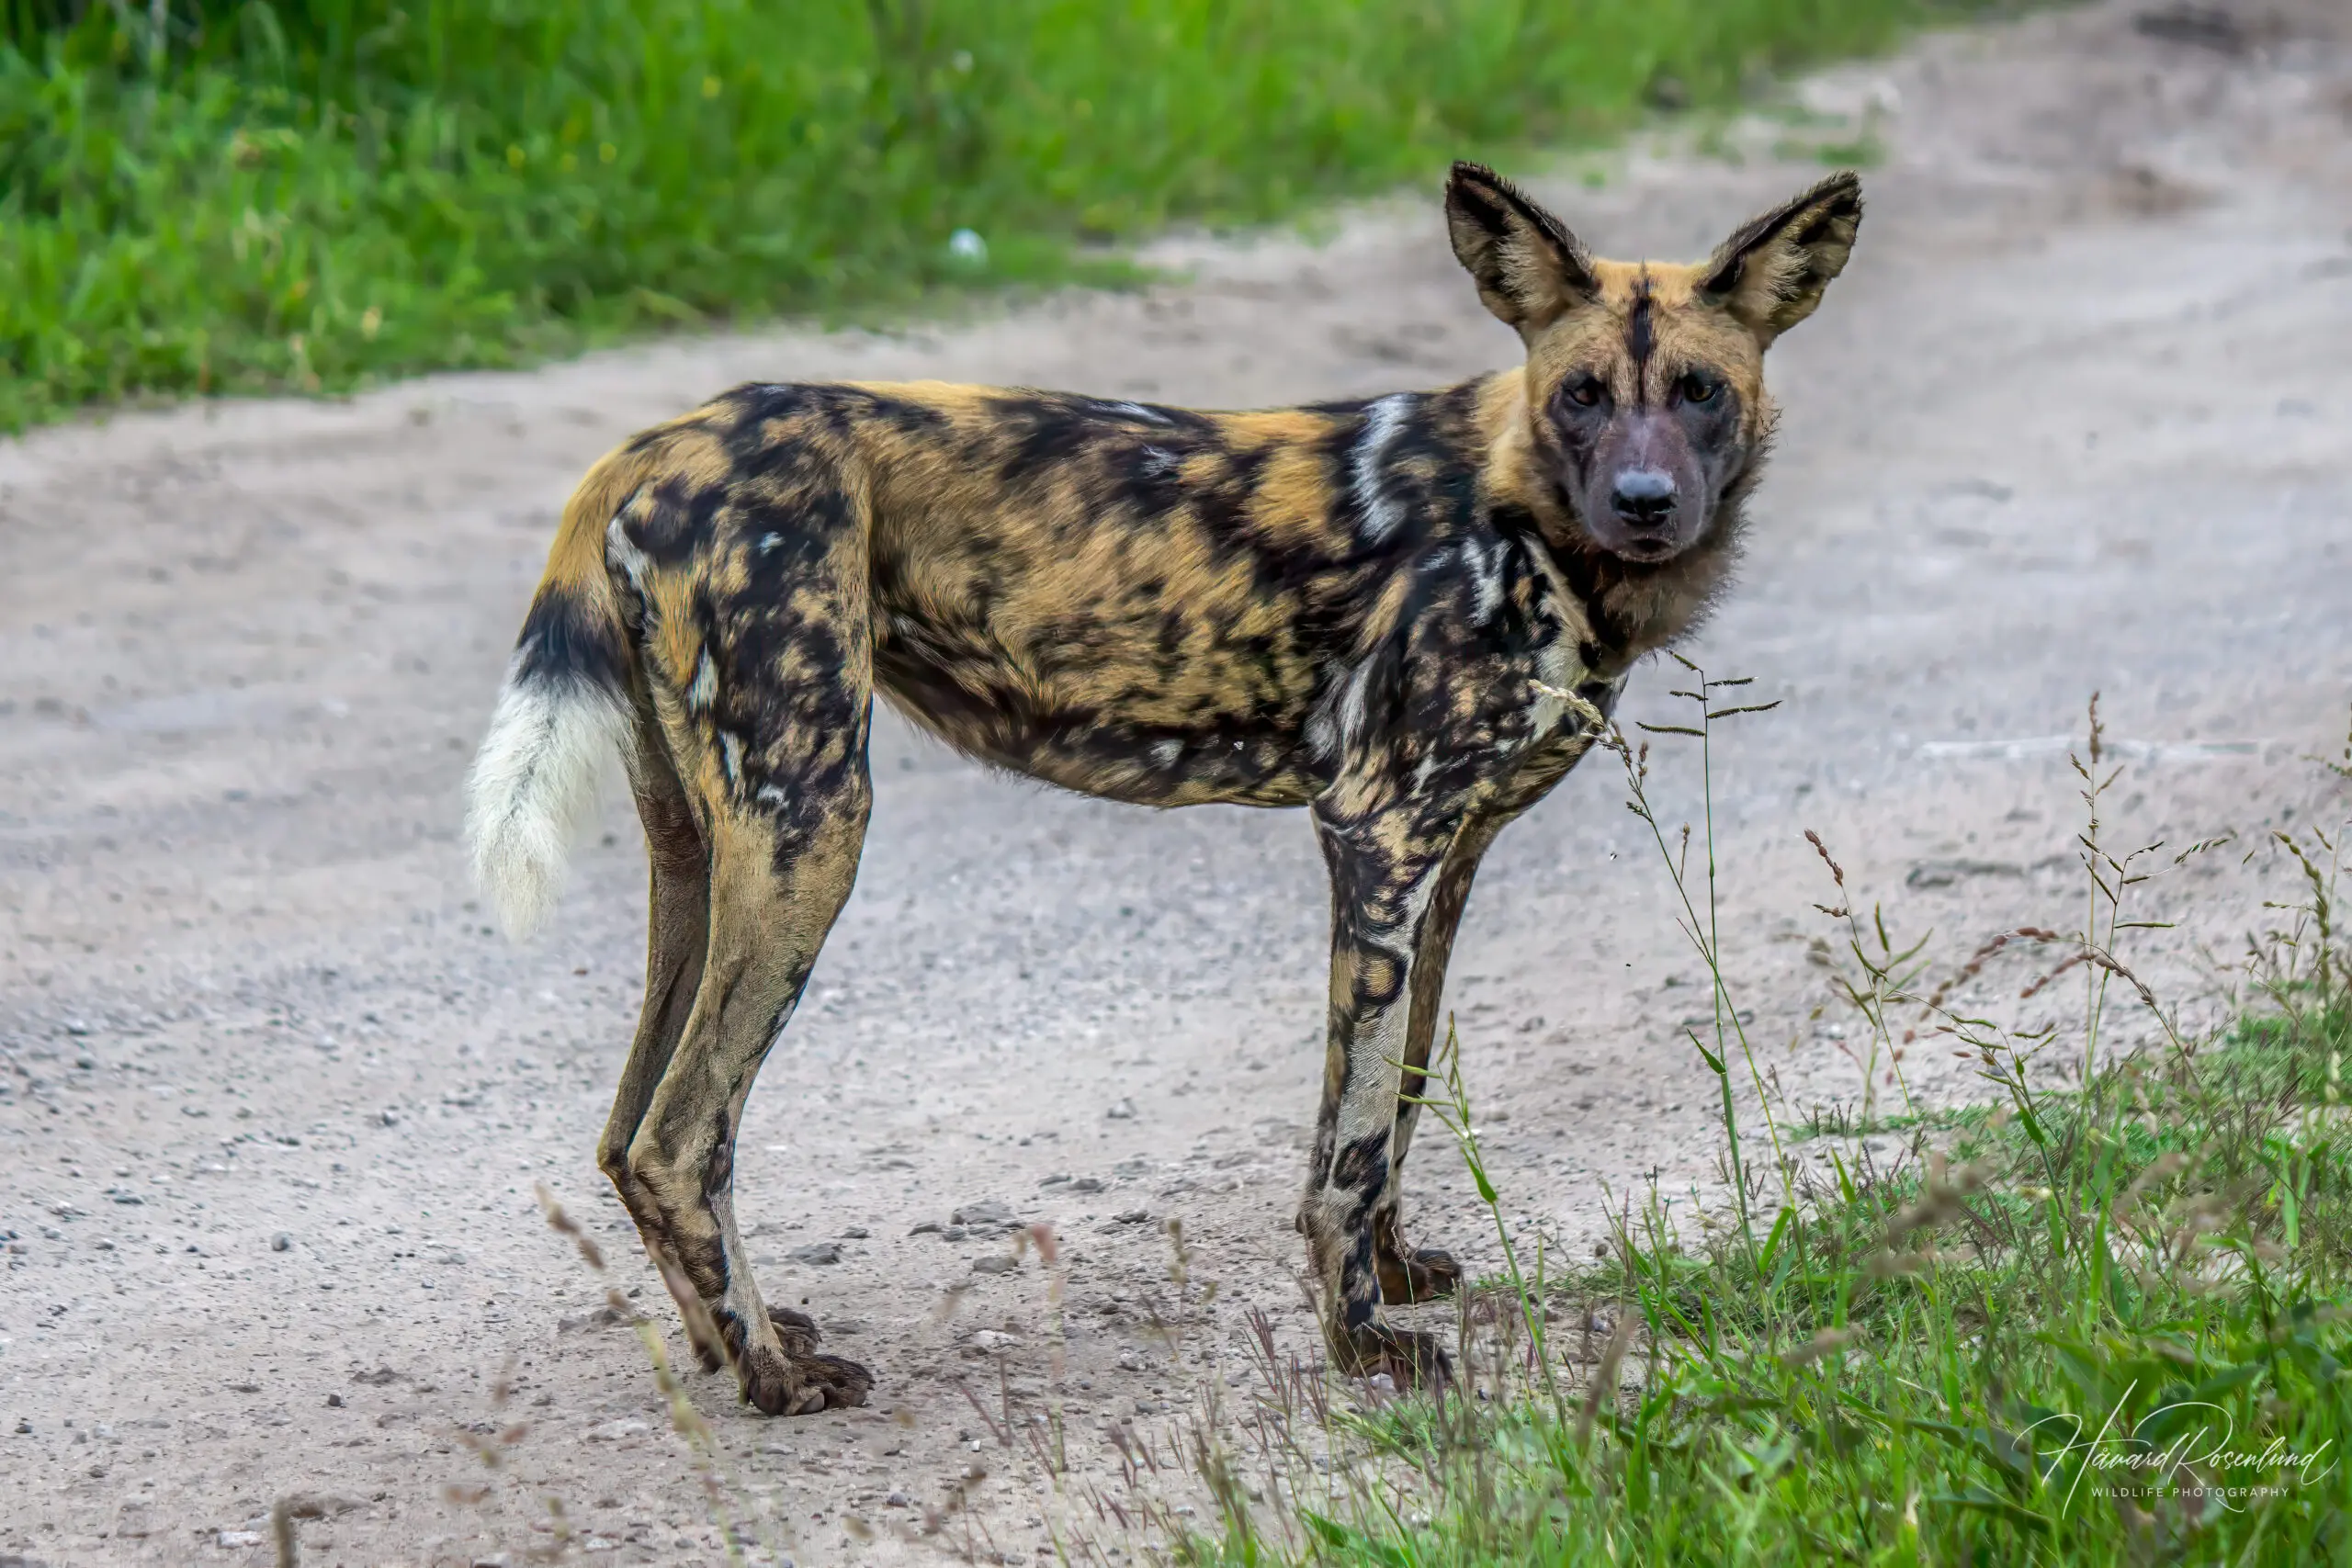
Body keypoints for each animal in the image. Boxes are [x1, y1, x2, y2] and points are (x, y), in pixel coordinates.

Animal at [468, 165, 1862, 1419]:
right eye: (1582, 395)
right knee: (680, 1134)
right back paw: (772, 1375)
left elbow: (1404, 1091)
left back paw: (725, 1347)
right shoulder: (1378, 833)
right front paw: (1361, 1343)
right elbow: (1351, 1139)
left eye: (1698, 392)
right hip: (813, 828)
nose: (1644, 503)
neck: (1528, 517)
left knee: (626, 1132)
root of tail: (652, 444)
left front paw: (1397, 1275)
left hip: (704, 852)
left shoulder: (1448, 862)